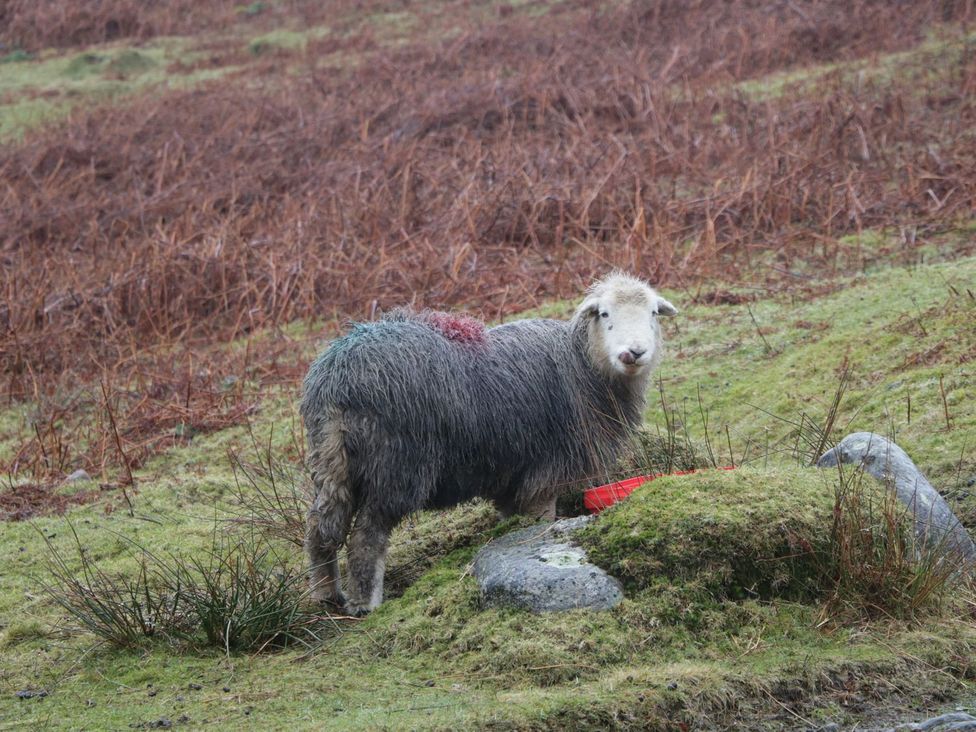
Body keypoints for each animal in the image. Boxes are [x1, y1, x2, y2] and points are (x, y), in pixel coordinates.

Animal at [300, 272, 677, 615]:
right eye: (604, 313)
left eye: (653, 313)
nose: (634, 352)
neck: (584, 365)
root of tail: (339, 377)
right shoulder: (547, 470)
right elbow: (541, 520)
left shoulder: (511, 476)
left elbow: (512, 518)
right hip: (397, 464)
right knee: (367, 537)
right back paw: (366, 604)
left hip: (331, 459)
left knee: (320, 527)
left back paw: (325, 594)